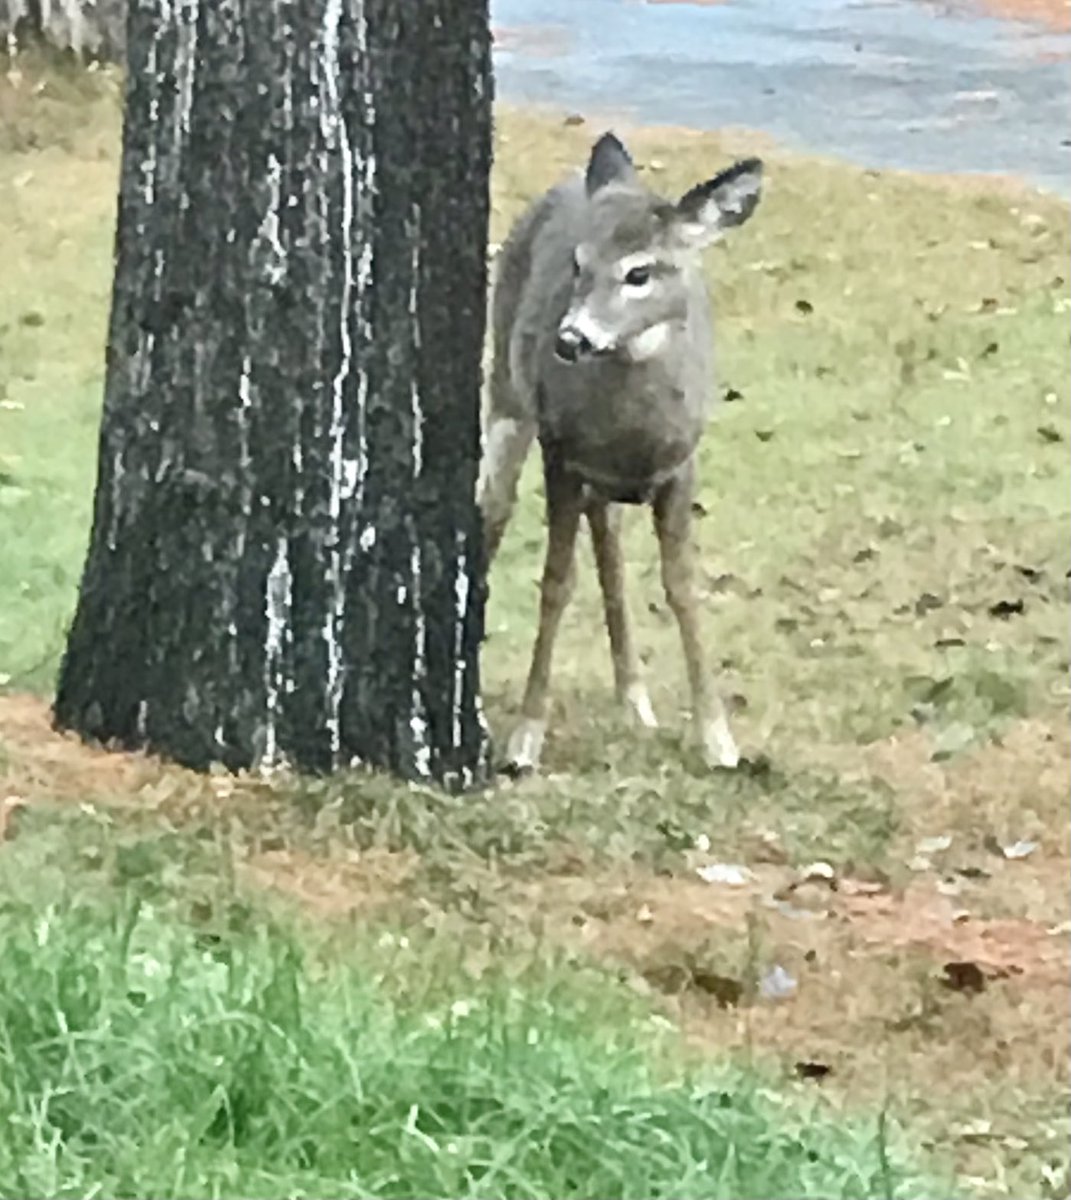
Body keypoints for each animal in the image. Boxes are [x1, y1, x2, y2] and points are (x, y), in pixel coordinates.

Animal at [478, 131, 763, 774]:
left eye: (640, 272)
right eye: (578, 264)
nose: (569, 339)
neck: (631, 434)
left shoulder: (681, 465)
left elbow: (682, 587)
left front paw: (719, 740)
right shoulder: (560, 451)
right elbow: (556, 583)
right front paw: (525, 740)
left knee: (607, 544)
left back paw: (635, 698)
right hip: (506, 393)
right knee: (493, 508)